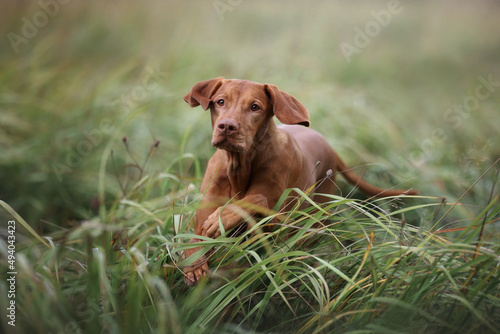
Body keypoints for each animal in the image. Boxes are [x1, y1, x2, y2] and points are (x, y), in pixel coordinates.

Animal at [182, 77, 416, 286]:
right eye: (220, 101)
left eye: (255, 107)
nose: (227, 126)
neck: (239, 167)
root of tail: (329, 145)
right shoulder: (203, 214)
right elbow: (194, 239)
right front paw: (194, 263)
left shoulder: (276, 220)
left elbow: (255, 198)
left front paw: (222, 217)